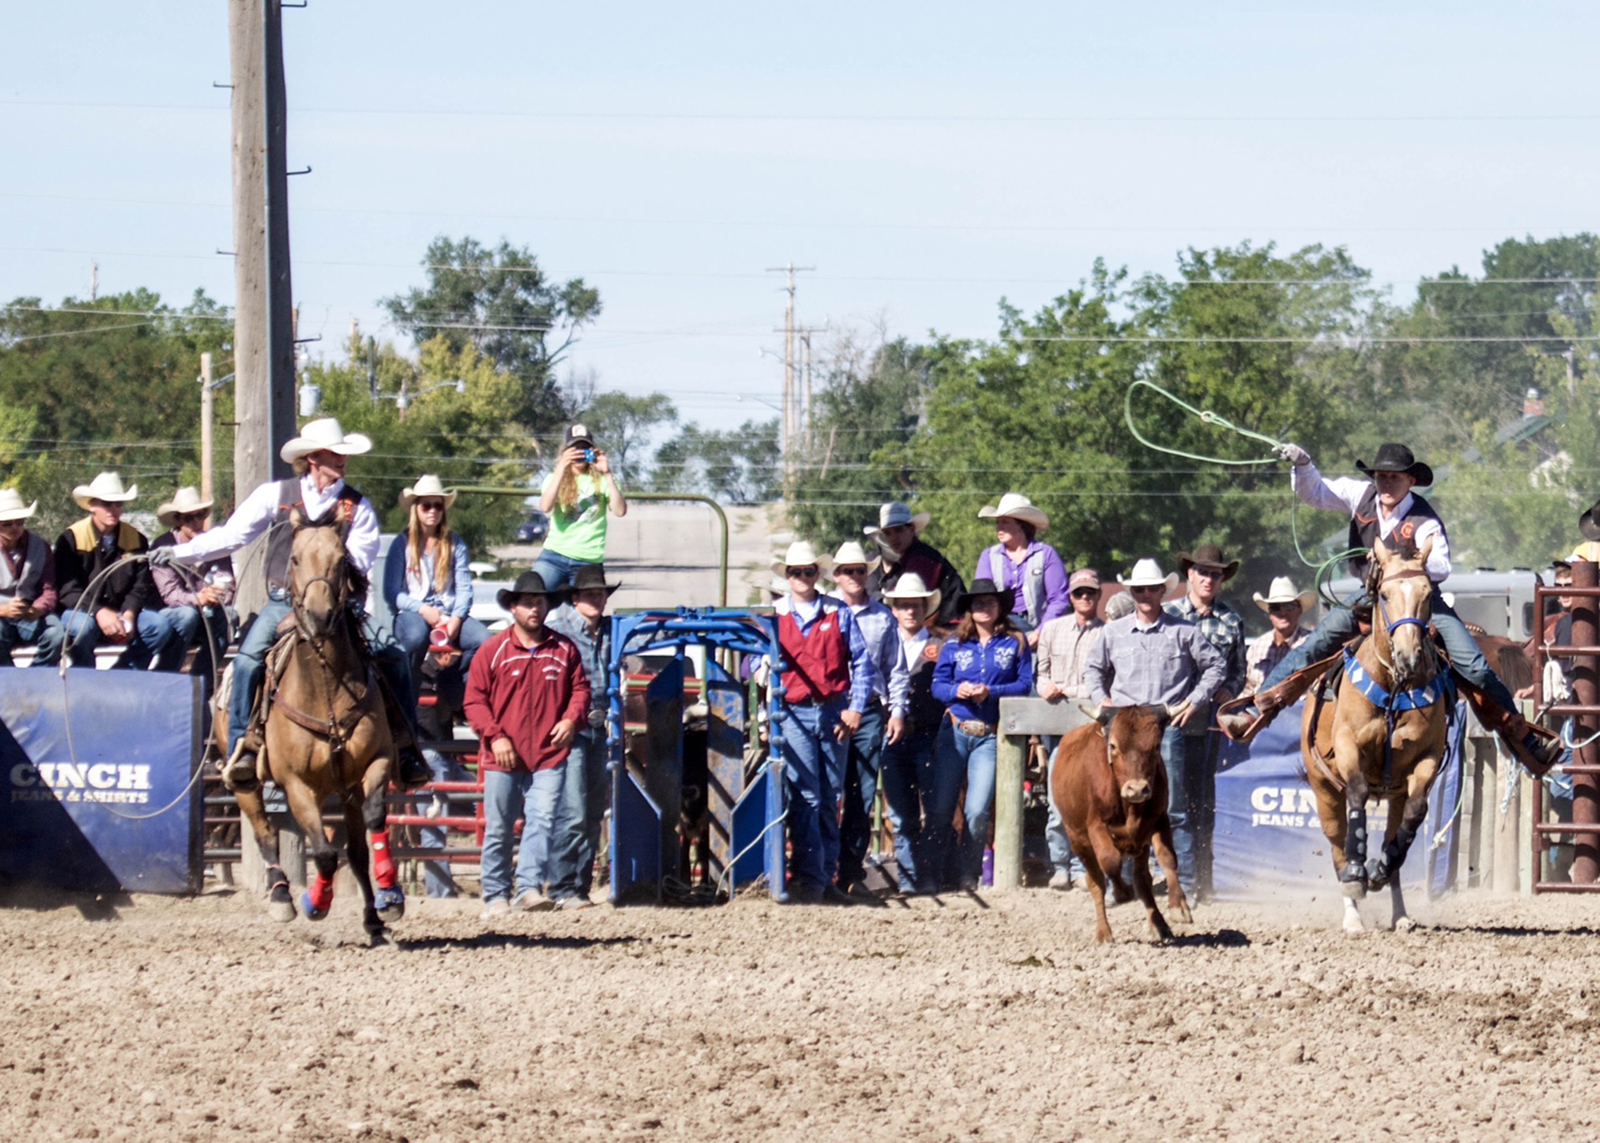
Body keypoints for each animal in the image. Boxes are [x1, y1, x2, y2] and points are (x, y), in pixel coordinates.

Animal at [222, 512, 403, 941]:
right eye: (295, 558)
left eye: (341, 560)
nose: (319, 616)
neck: (325, 689)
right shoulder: (296, 785)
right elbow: (322, 852)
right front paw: (315, 903)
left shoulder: (375, 763)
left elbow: (374, 819)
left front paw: (390, 896)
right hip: (246, 782)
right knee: (264, 830)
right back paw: (281, 896)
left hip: (344, 788)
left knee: (356, 850)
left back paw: (373, 920)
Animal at [1299, 531, 1452, 928]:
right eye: (1383, 593)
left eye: (1427, 593)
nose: (1408, 656)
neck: (1394, 687)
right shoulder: (1347, 746)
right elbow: (1357, 795)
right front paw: (1358, 873)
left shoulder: (1426, 758)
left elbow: (1414, 815)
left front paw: (1380, 868)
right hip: (1323, 791)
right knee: (1337, 846)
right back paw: (1352, 914)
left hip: (1394, 794)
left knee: (1396, 833)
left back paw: (1399, 911)